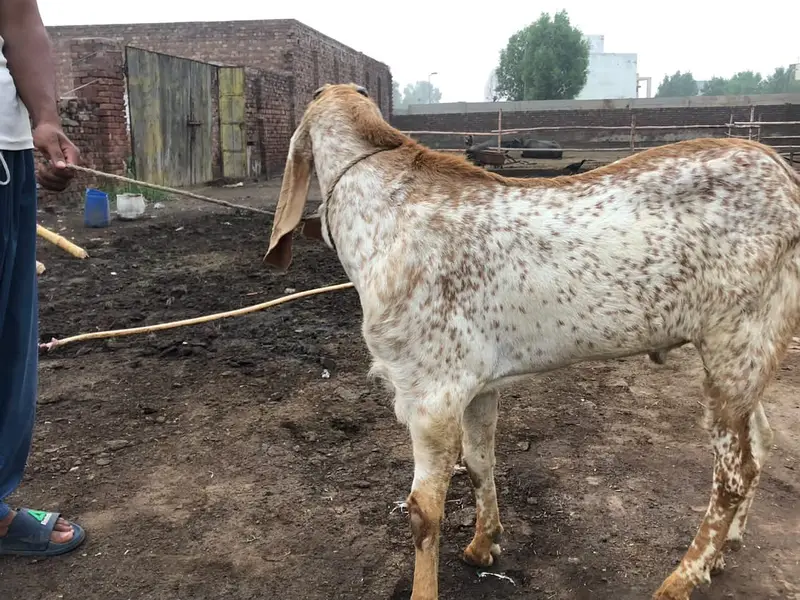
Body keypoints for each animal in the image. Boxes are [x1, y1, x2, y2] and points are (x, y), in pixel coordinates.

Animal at [264, 83, 800, 600]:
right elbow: (479, 461)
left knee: (734, 474)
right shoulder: (477, 385)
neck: (384, 214)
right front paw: (483, 544)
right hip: (746, 356)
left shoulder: (430, 392)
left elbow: (423, 510)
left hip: (738, 341)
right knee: (761, 443)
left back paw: (681, 580)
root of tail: (786, 179)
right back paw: (725, 549)